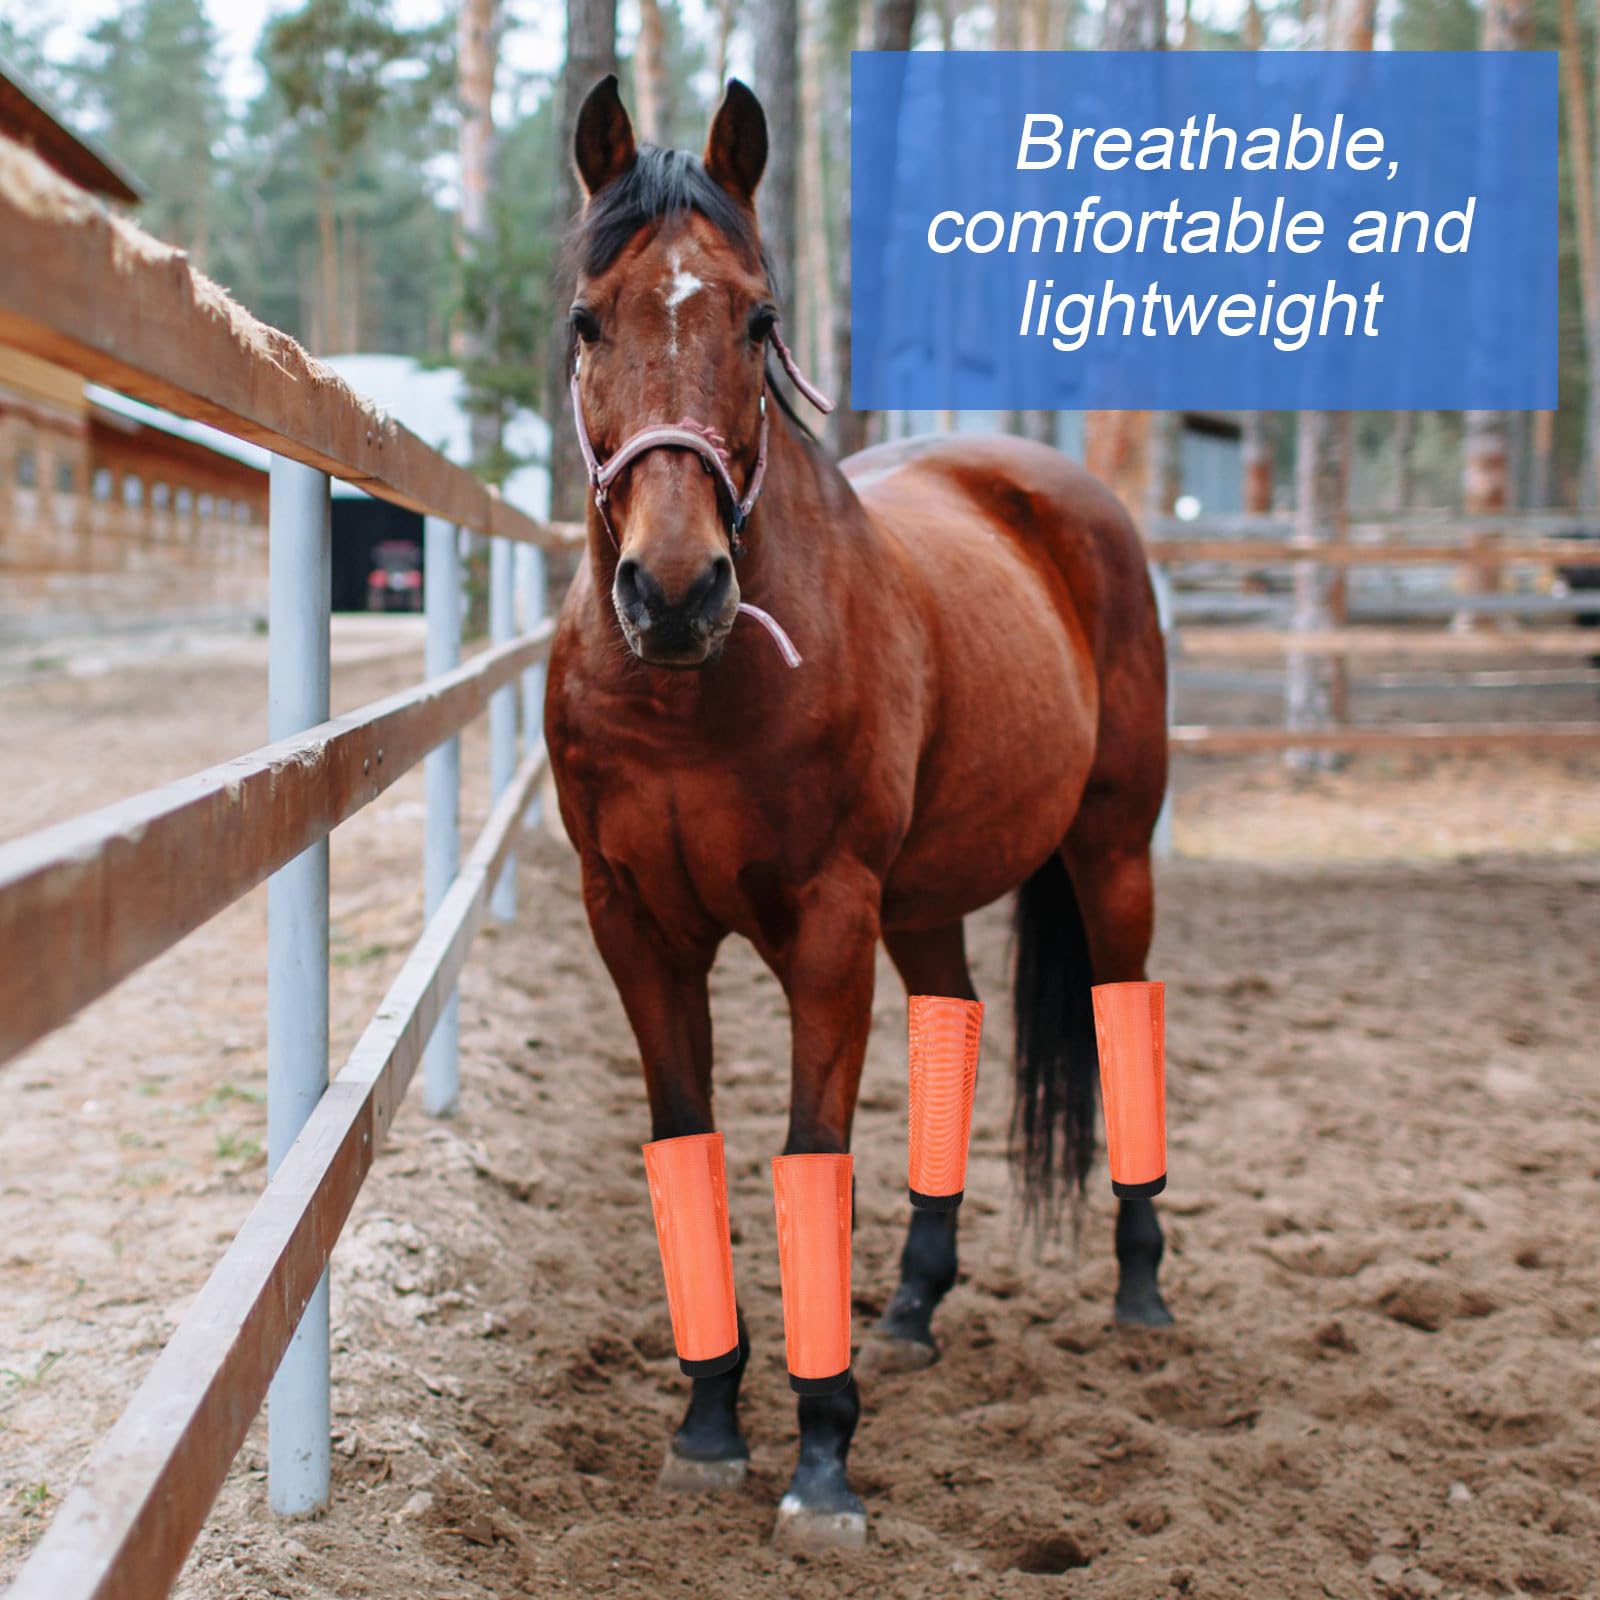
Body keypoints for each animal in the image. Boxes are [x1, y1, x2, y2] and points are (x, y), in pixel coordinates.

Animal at [545, 75, 1172, 1548]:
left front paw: (821, 1456)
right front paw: (709, 1423)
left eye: (756, 319)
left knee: (1123, 1008)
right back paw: (914, 1304)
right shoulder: (634, 928)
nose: (674, 590)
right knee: (955, 1015)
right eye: (588, 319)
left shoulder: (826, 925)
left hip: (1112, 848)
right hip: (927, 897)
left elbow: (808, 1153)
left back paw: (1139, 1285)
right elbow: (689, 1144)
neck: (691, 693)